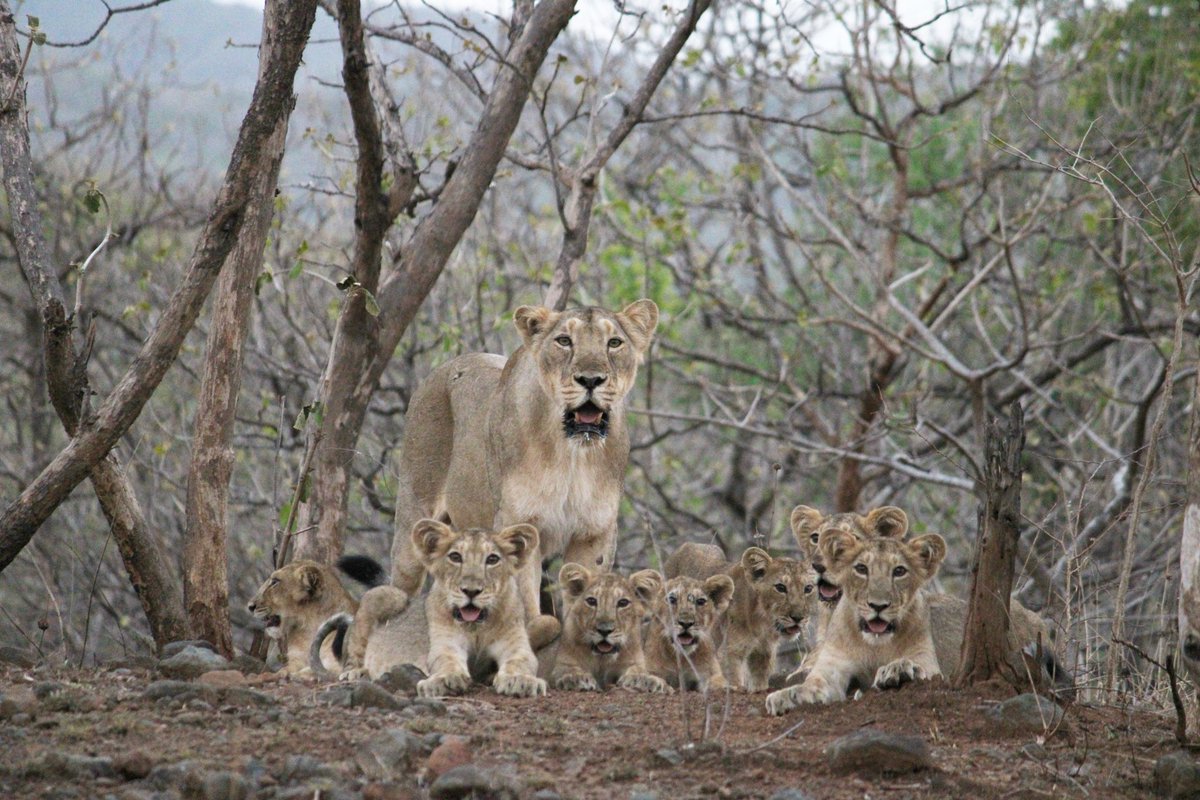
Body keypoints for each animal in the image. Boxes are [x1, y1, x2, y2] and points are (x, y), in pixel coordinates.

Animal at [389, 300, 659, 652]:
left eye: (614, 343)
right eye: (564, 341)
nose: (591, 380)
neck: (571, 454)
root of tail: (443, 368)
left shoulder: (595, 533)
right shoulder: (520, 523)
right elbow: (527, 597)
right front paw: (535, 629)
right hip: (411, 523)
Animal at [549, 563, 670, 693]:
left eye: (623, 603)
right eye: (591, 601)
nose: (604, 630)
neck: (602, 660)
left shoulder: (633, 662)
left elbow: (638, 671)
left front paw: (643, 679)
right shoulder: (562, 664)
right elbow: (566, 670)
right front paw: (576, 677)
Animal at [666, 544, 815, 691]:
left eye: (808, 588)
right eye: (780, 587)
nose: (798, 618)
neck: (763, 625)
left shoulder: (763, 654)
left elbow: (759, 684)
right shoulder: (729, 653)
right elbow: (734, 682)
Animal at [765, 530, 948, 714]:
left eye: (899, 571)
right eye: (861, 569)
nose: (878, 605)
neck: (875, 645)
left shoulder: (928, 663)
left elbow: (920, 668)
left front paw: (898, 669)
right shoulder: (832, 666)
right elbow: (811, 685)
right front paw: (786, 697)